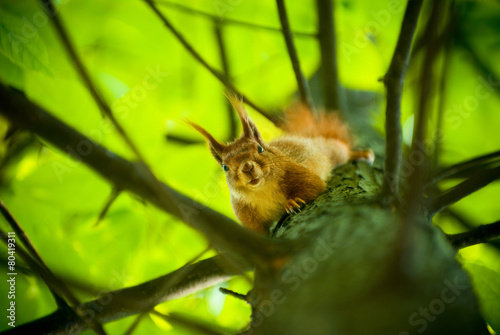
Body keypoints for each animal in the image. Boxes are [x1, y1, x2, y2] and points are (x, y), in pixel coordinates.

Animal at [186, 94, 374, 235]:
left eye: (260, 149)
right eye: (225, 167)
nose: (247, 167)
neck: (262, 190)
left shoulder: (295, 171)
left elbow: (313, 186)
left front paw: (292, 202)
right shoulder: (245, 213)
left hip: (330, 151)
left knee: (342, 149)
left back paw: (362, 154)